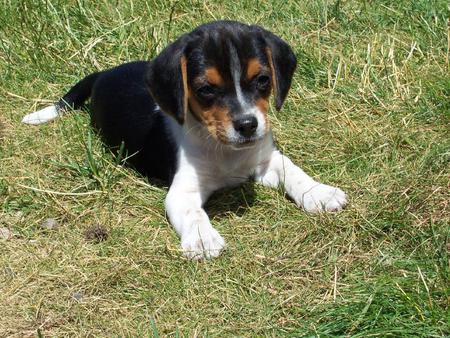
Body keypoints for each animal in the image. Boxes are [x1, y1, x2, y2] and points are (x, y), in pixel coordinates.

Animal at [22, 20, 348, 258]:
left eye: (263, 80)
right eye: (205, 90)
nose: (247, 125)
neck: (224, 151)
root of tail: (105, 72)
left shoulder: (266, 160)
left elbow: (295, 172)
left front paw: (319, 193)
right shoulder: (183, 191)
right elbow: (193, 213)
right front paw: (203, 238)